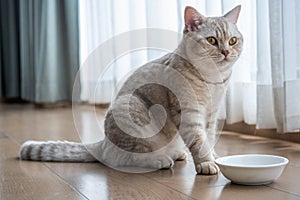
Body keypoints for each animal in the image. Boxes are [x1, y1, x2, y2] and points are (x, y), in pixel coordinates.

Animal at [19, 5, 243, 175]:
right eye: (212, 40)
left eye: (233, 40)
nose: (226, 51)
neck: (212, 80)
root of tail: (103, 144)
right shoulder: (188, 113)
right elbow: (198, 140)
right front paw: (206, 163)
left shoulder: (211, 114)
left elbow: (209, 138)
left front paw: (213, 156)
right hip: (132, 112)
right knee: (125, 158)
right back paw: (160, 160)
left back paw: (176, 154)